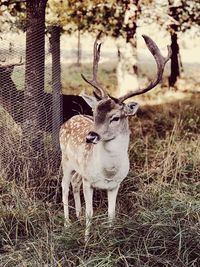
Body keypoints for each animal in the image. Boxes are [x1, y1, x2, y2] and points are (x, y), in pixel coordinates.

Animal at [59, 33, 172, 241]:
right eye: (94, 112)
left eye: (116, 117)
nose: (90, 136)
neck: (108, 173)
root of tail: (68, 120)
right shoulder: (89, 181)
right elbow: (91, 212)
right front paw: (87, 240)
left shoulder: (116, 184)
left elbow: (111, 214)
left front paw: (110, 238)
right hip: (66, 159)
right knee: (64, 186)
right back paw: (68, 223)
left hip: (79, 168)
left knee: (74, 183)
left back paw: (77, 216)